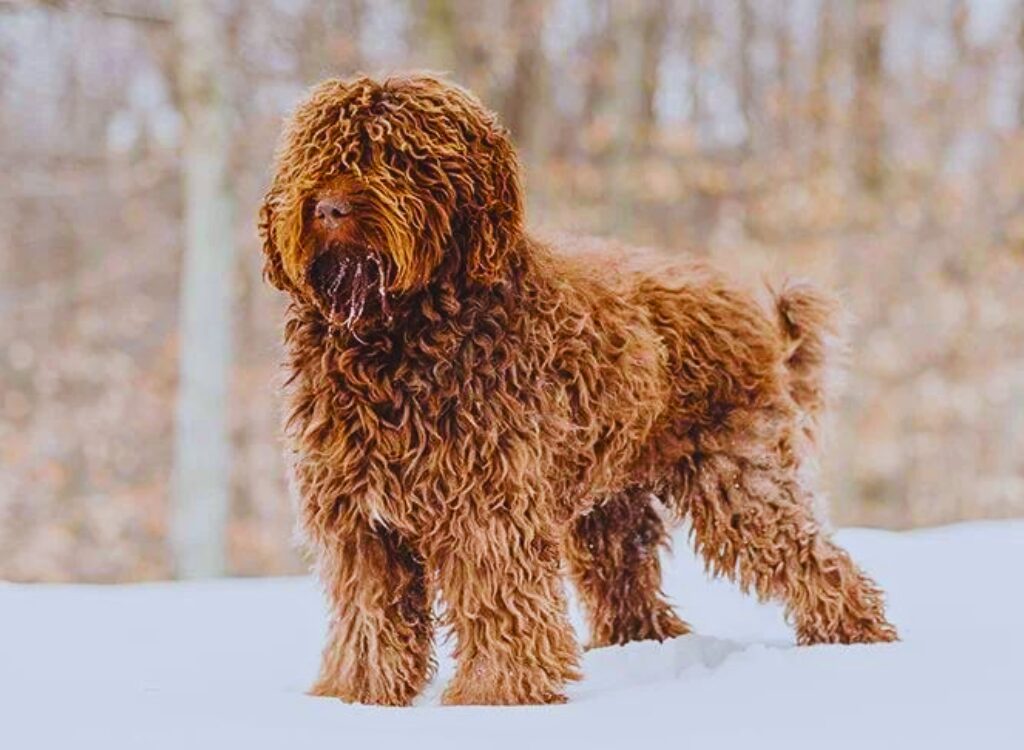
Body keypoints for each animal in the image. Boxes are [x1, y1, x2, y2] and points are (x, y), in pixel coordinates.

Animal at [258, 73, 897, 704]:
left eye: (397, 156)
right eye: (317, 153)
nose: (329, 207)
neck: (396, 337)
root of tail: (748, 309)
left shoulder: (489, 506)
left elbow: (497, 600)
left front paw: (496, 695)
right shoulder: (358, 520)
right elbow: (370, 612)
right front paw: (358, 694)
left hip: (738, 475)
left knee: (812, 557)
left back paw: (856, 638)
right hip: (615, 502)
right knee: (628, 583)